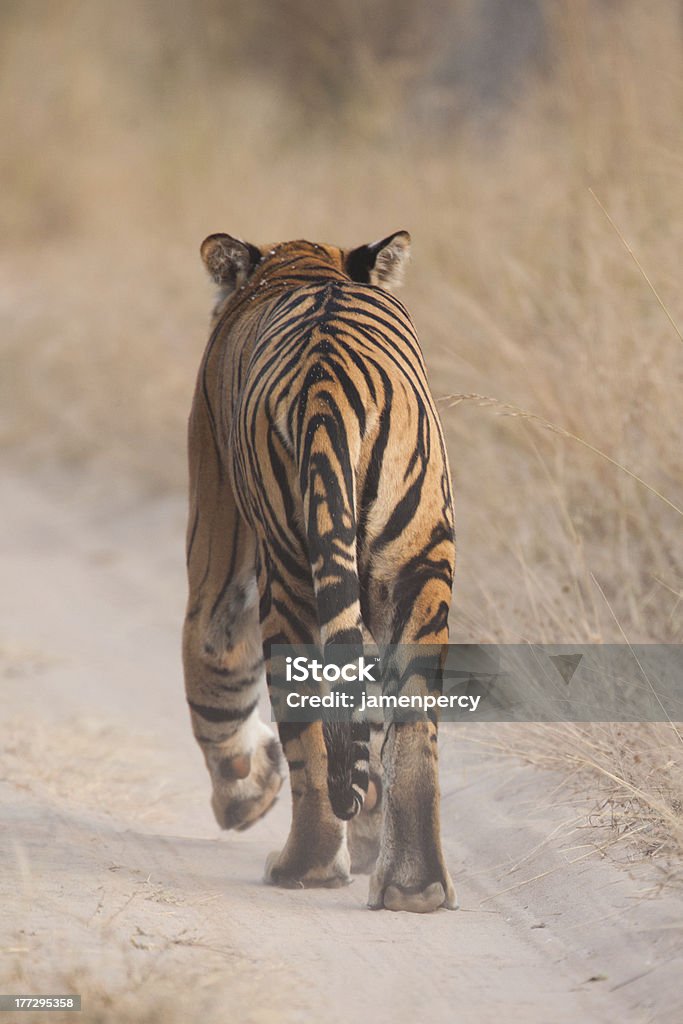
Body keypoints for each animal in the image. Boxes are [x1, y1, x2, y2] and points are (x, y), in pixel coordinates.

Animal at [184, 230, 456, 913]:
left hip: (286, 574)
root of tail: (327, 379)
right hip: (419, 558)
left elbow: (212, 670)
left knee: (305, 724)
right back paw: (413, 886)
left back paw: (302, 866)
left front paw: (244, 794)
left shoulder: (217, 538)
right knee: (411, 721)